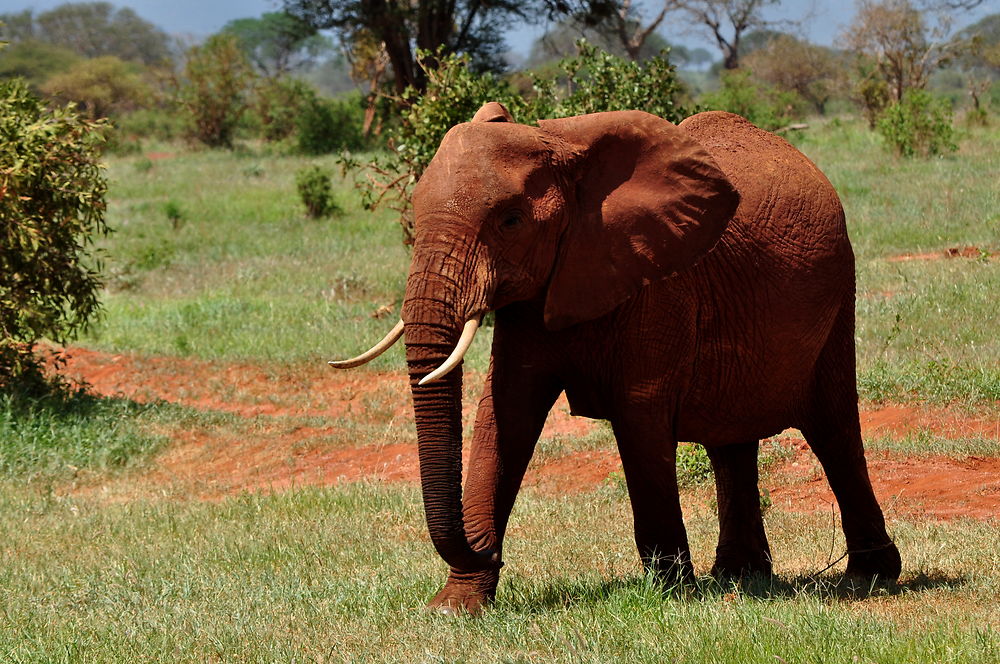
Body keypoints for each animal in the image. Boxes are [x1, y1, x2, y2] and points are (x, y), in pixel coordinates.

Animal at [332, 101, 904, 616]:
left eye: (511, 221)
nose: (486, 547)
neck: (561, 147)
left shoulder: (659, 284)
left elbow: (638, 415)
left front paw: (672, 595)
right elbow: (504, 412)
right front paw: (455, 608)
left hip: (839, 291)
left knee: (832, 428)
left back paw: (868, 577)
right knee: (730, 441)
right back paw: (739, 576)